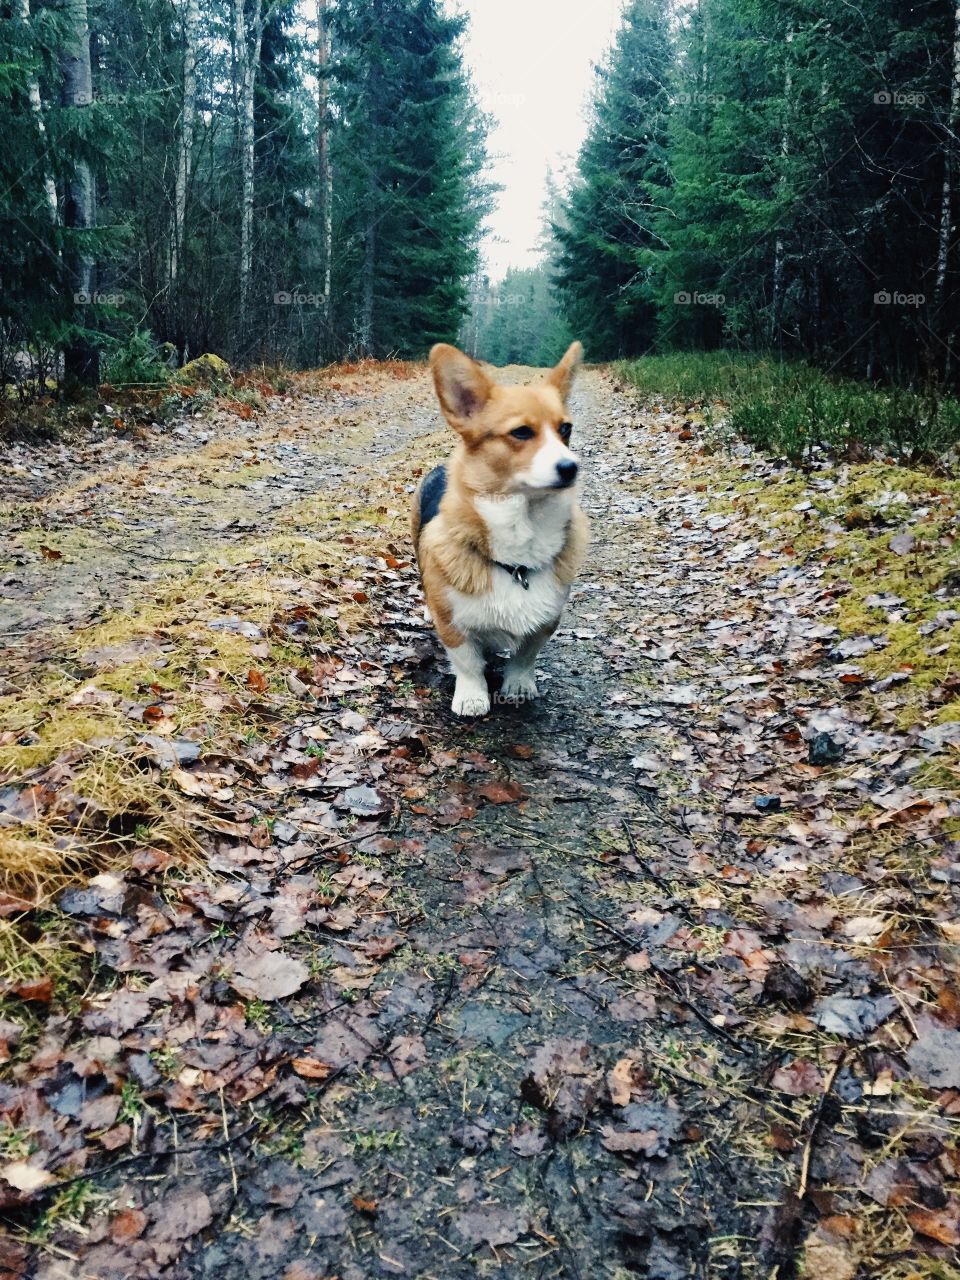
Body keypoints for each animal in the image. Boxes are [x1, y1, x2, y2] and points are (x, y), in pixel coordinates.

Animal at [412, 340, 591, 716]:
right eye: (521, 432)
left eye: (565, 429)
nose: (571, 467)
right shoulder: (454, 626)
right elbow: (467, 662)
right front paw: (472, 697)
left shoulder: (545, 621)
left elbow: (524, 656)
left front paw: (518, 686)